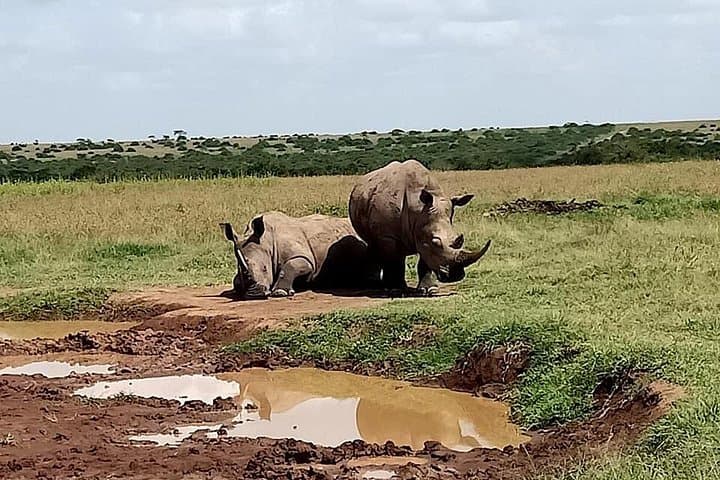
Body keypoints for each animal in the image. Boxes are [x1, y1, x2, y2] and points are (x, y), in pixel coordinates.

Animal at [221, 211, 381, 299]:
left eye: (265, 269)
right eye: (241, 270)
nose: (254, 294)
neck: (266, 240)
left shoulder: (306, 259)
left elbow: (291, 265)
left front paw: (280, 293)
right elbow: (235, 280)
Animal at [349, 159, 491, 294]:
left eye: (459, 239)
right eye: (436, 242)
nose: (455, 276)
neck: (418, 211)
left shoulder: (424, 232)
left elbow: (425, 261)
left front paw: (429, 289)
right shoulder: (388, 235)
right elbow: (392, 259)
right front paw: (394, 289)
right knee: (375, 245)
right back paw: (377, 284)